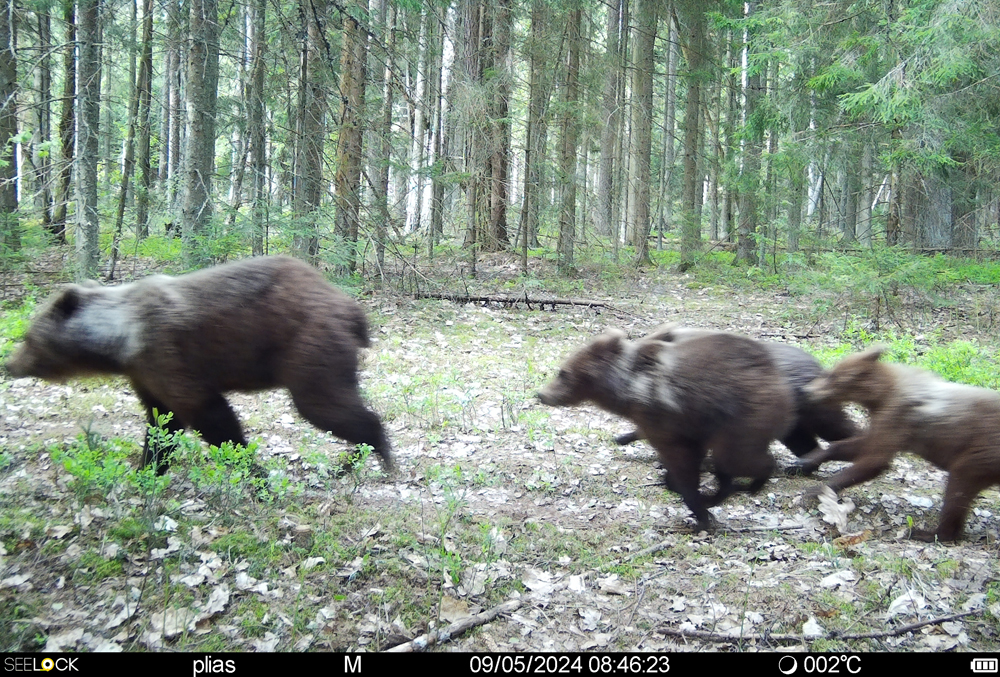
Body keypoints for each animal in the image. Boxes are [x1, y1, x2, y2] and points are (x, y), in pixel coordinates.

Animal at [5, 256, 392, 472]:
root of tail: (352, 309)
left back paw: (377, 452)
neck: (122, 338)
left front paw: (251, 469)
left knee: (325, 405)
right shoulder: (146, 374)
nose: (9, 365)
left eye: (27, 337)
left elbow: (213, 418)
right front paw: (148, 469)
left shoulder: (169, 357)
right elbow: (162, 424)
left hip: (307, 347)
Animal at [536, 330, 792, 532]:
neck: (626, 386)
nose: (541, 394)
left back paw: (754, 482)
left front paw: (698, 512)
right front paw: (689, 494)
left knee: (737, 457)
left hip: (743, 418)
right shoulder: (689, 427)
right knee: (728, 464)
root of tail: (778, 379)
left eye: (563, 373)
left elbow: (681, 462)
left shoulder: (664, 420)